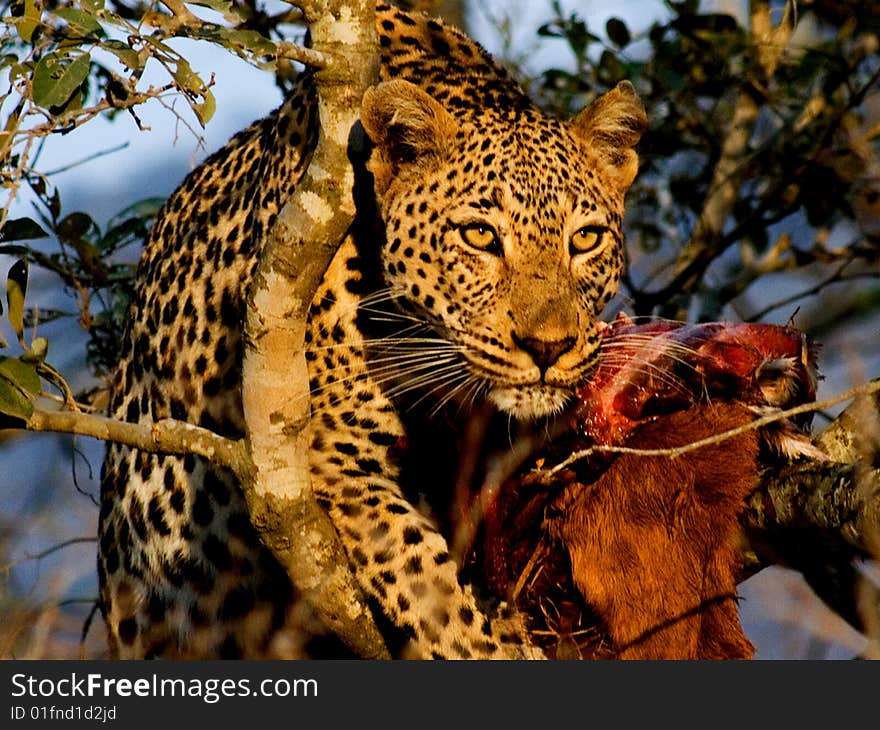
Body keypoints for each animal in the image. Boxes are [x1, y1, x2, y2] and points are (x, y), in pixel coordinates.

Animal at [98, 1, 648, 660]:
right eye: (480, 236)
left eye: (585, 239)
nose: (549, 347)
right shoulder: (330, 451)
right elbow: (428, 583)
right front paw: (486, 642)